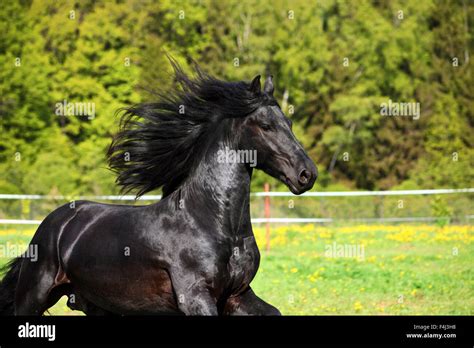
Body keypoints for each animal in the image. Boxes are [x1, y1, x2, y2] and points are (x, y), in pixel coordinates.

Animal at [1, 59, 318, 316]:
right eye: (266, 125)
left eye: (289, 122)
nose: (307, 174)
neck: (211, 222)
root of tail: (55, 222)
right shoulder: (196, 296)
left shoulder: (238, 295)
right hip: (35, 294)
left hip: (97, 305)